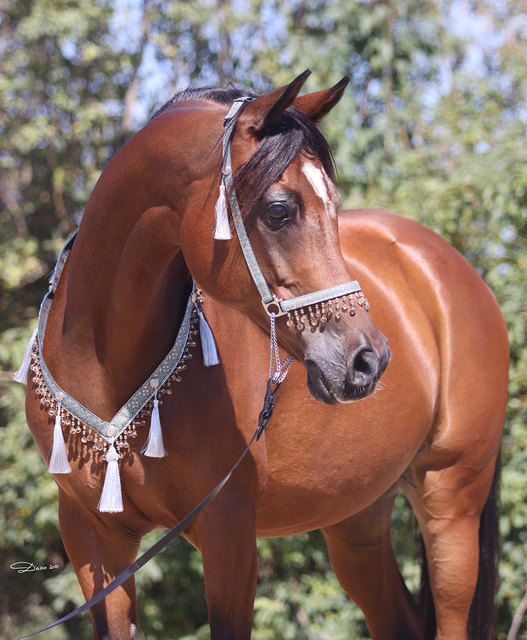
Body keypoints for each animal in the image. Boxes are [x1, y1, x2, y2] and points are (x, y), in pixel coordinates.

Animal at [22, 72, 510, 640]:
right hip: (357, 520)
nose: (369, 360)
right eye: (280, 210)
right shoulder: (92, 535)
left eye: (334, 204)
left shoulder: (228, 529)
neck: (106, 369)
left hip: (451, 501)